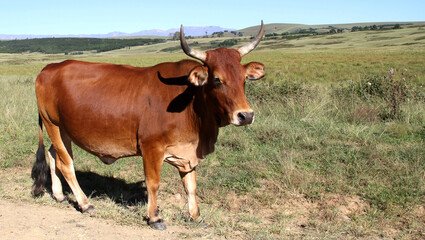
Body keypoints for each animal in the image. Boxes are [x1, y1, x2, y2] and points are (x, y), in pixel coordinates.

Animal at [31, 21, 264, 230]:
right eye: (217, 79)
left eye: (244, 79)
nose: (245, 115)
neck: (192, 100)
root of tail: (49, 67)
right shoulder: (152, 147)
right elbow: (153, 182)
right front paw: (154, 217)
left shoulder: (188, 152)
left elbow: (190, 185)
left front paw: (195, 216)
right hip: (52, 124)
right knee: (66, 164)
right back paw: (85, 203)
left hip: (64, 130)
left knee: (53, 156)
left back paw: (59, 195)